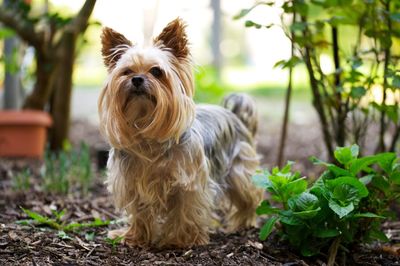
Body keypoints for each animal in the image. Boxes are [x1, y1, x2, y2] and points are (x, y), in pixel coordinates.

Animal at [99, 18, 264, 247]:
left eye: (156, 72)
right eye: (127, 71)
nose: (137, 79)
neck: (147, 131)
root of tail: (233, 115)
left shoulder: (189, 184)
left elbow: (185, 210)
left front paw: (181, 240)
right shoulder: (132, 182)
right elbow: (140, 212)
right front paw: (136, 237)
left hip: (240, 171)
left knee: (249, 196)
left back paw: (244, 223)